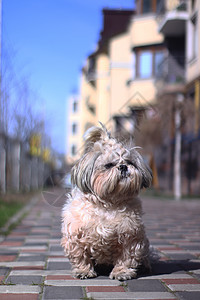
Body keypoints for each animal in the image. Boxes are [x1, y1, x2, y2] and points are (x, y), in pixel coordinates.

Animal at [61, 123, 152, 278]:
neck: (109, 204)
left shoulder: (131, 236)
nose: (123, 166)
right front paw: (83, 270)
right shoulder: (75, 235)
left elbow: (127, 257)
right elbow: (80, 255)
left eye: (130, 162)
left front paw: (122, 272)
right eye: (109, 165)